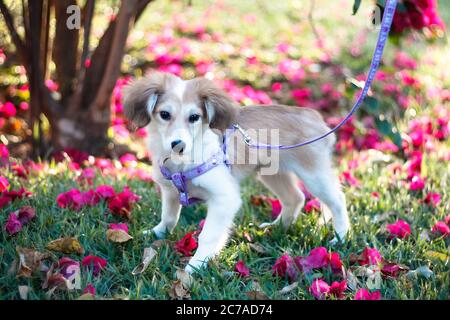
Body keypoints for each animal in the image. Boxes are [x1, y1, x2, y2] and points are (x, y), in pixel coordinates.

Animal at [124, 72, 352, 272]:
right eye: (164, 114)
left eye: (194, 117)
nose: (177, 145)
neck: (182, 163)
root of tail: (313, 115)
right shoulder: (170, 190)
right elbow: (169, 217)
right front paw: (157, 234)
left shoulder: (225, 198)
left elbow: (208, 236)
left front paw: (195, 267)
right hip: (272, 174)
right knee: (295, 198)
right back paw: (277, 227)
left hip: (313, 174)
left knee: (337, 200)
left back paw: (341, 237)